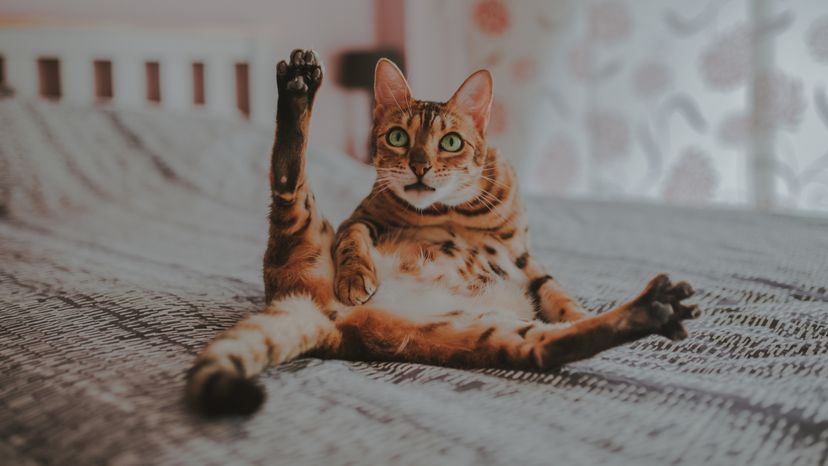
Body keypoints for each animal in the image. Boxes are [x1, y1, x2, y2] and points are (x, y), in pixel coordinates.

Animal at [186, 49, 700, 416]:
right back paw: (297, 85)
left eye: (450, 142)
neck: (454, 211)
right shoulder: (359, 218)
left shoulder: (525, 258)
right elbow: (354, 241)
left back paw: (653, 308)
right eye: (397, 137)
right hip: (305, 224)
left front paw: (576, 310)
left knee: (550, 346)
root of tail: (327, 320)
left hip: (481, 334)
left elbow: (560, 297)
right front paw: (356, 277)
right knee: (286, 174)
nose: (419, 166)